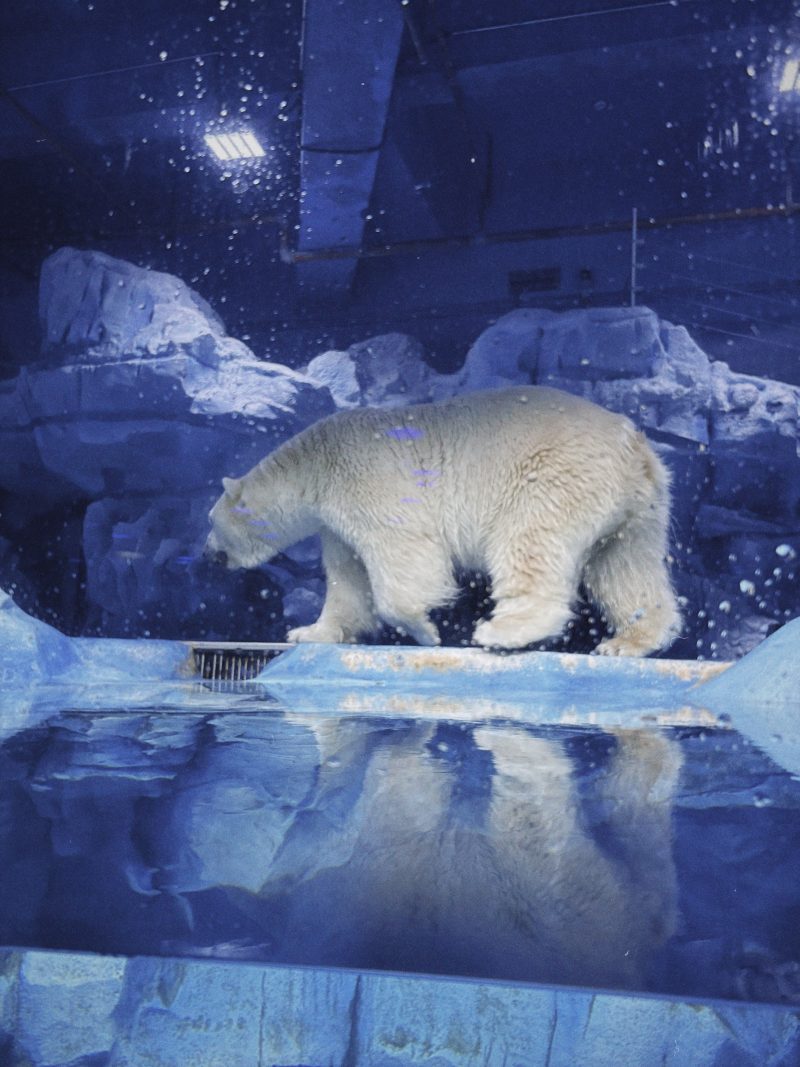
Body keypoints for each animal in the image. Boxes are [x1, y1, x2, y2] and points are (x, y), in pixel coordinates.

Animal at [205, 385, 680, 655]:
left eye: (210, 521)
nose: (208, 554)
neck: (316, 463)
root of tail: (635, 448)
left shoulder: (368, 480)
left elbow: (404, 554)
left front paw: (424, 631)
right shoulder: (336, 526)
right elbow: (348, 581)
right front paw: (308, 632)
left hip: (552, 476)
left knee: (528, 542)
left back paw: (503, 631)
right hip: (638, 507)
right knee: (624, 567)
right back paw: (630, 640)